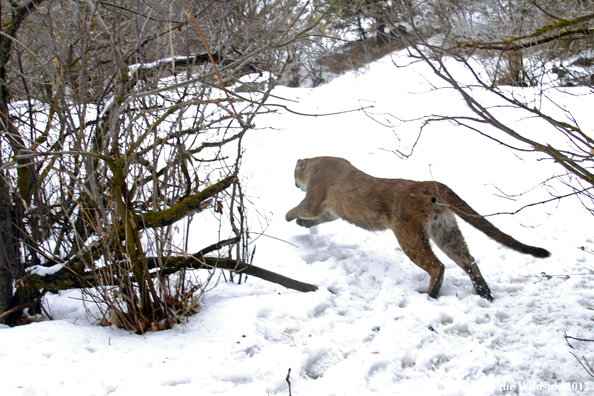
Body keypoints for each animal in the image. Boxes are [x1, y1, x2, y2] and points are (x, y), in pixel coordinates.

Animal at [284, 156, 548, 302]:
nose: (293, 183)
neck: (317, 162)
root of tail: (427, 184)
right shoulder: (331, 211)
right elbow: (317, 218)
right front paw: (301, 223)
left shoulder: (315, 200)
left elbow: (301, 208)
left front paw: (289, 217)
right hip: (446, 231)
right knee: (468, 260)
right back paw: (484, 294)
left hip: (408, 234)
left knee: (437, 265)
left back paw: (430, 296)